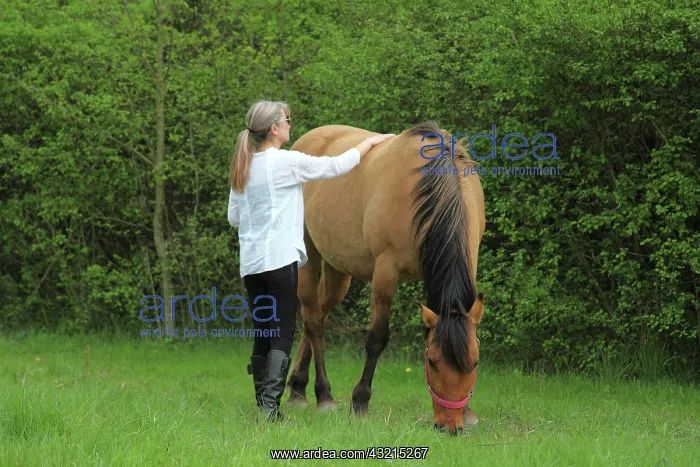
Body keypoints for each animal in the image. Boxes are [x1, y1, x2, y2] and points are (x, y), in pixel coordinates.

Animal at [285, 122, 485, 434]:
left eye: (474, 363)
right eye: (431, 361)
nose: (449, 426)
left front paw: (469, 412)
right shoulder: (385, 273)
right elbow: (377, 338)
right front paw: (360, 401)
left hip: (338, 272)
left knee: (317, 313)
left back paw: (297, 387)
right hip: (310, 255)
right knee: (314, 321)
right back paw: (323, 395)